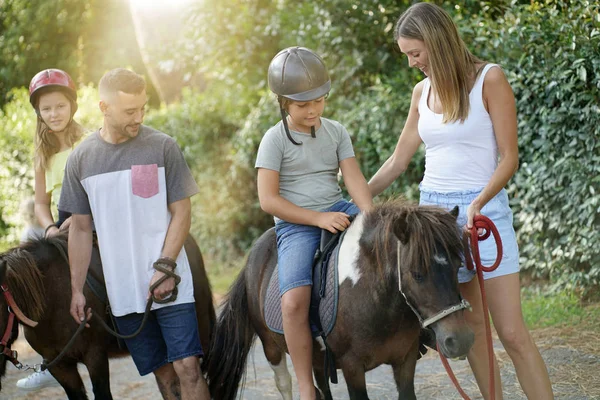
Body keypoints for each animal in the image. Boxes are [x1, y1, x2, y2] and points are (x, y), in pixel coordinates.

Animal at [209, 200, 476, 400]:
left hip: (317, 359)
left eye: (458, 265)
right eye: (417, 274)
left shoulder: (405, 359)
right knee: (285, 383)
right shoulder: (352, 367)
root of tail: (254, 255)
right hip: (271, 347)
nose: (460, 340)